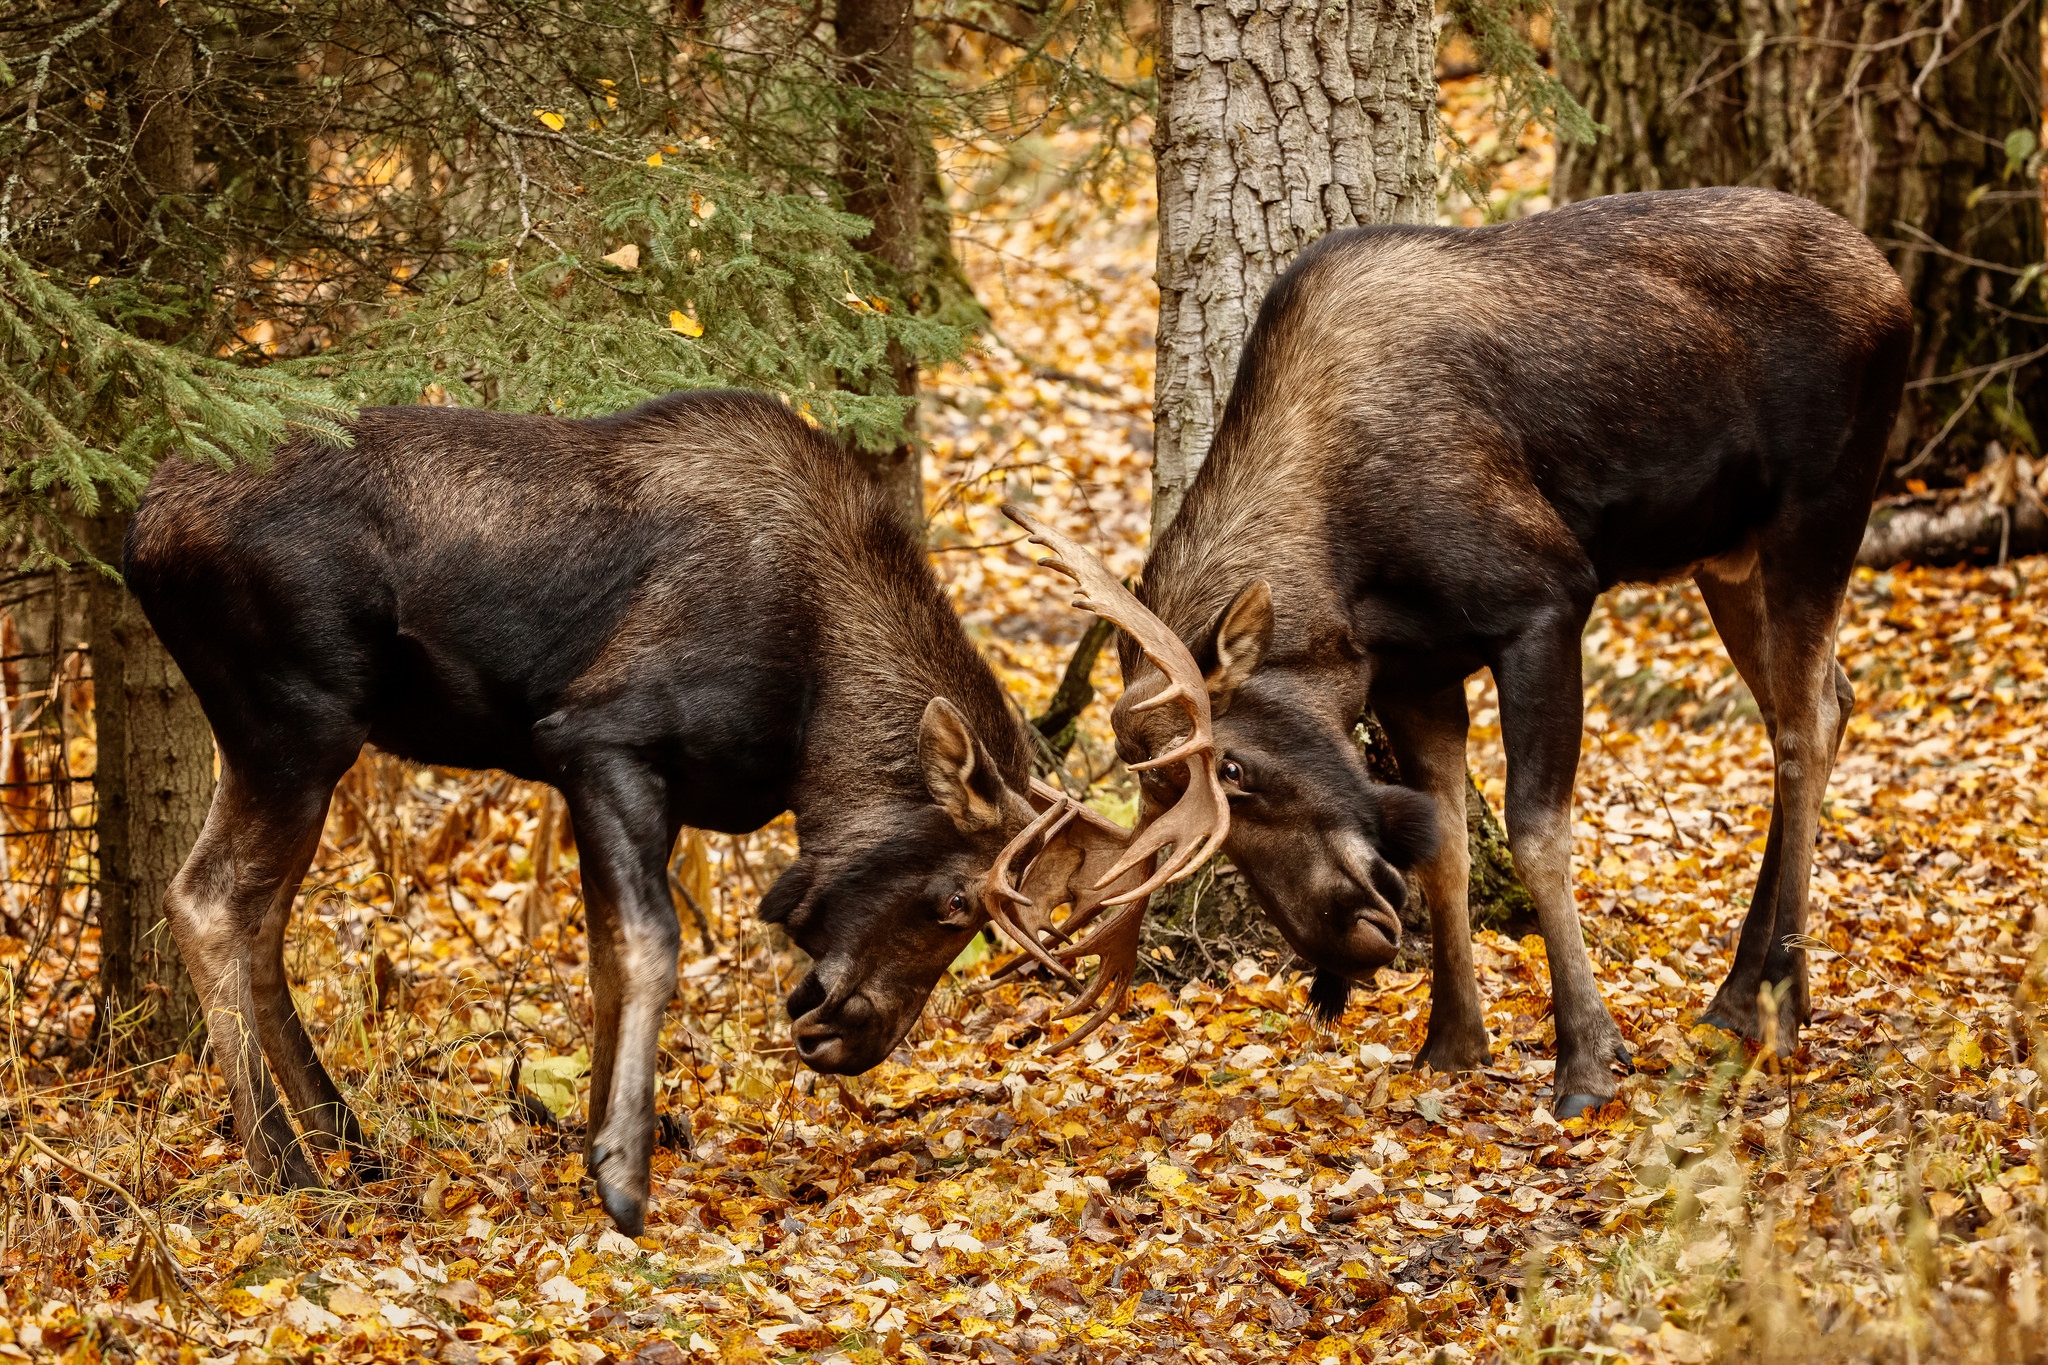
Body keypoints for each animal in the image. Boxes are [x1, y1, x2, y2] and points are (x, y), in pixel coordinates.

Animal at [123, 388, 1212, 1236]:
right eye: (956, 903)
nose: (853, 1038)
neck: (809, 721)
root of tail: (139, 527)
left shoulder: (647, 786)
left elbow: (606, 956)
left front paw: (595, 1140)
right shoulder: (596, 738)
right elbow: (648, 946)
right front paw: (622, 1174)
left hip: (288, 738)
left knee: (262, 917)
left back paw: (346, 1141)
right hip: (295, 720)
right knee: (210, 901)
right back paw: (287, 1169)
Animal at [1064, 187, 1908, 1113]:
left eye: (1235, 768)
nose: (1340, 942)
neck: (1344, 581)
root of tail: (1894, 286)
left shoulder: (1547, 600)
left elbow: (1536, 831)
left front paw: (1587, 1058)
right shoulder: (1413, 674)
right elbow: (1446, 846)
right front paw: (1452, 1039)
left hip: (1821, 509)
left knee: (1803, 725)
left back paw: (1783, 1006)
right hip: (1726, 555)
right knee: (1826, 700)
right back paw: (1737, 993)